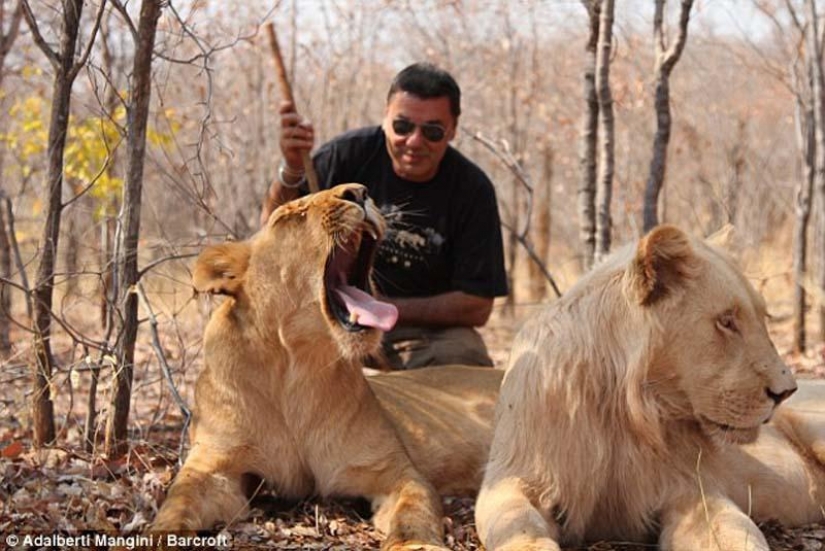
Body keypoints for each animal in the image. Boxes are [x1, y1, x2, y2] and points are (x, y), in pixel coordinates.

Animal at [154, 183, 502, 548]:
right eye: (288, 216)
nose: (359, 192)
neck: (294, 366)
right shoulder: (213, 464)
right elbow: (178, 501)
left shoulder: (392, 470)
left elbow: (414, 512)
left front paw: (418, 545)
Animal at [476, 224, 824, 551]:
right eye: (726, 321)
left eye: (762, 318)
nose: (785, 391)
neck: (626, 408)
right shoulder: (512, 477)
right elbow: (520, 527)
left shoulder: (691, 490)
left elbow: (737, 537)